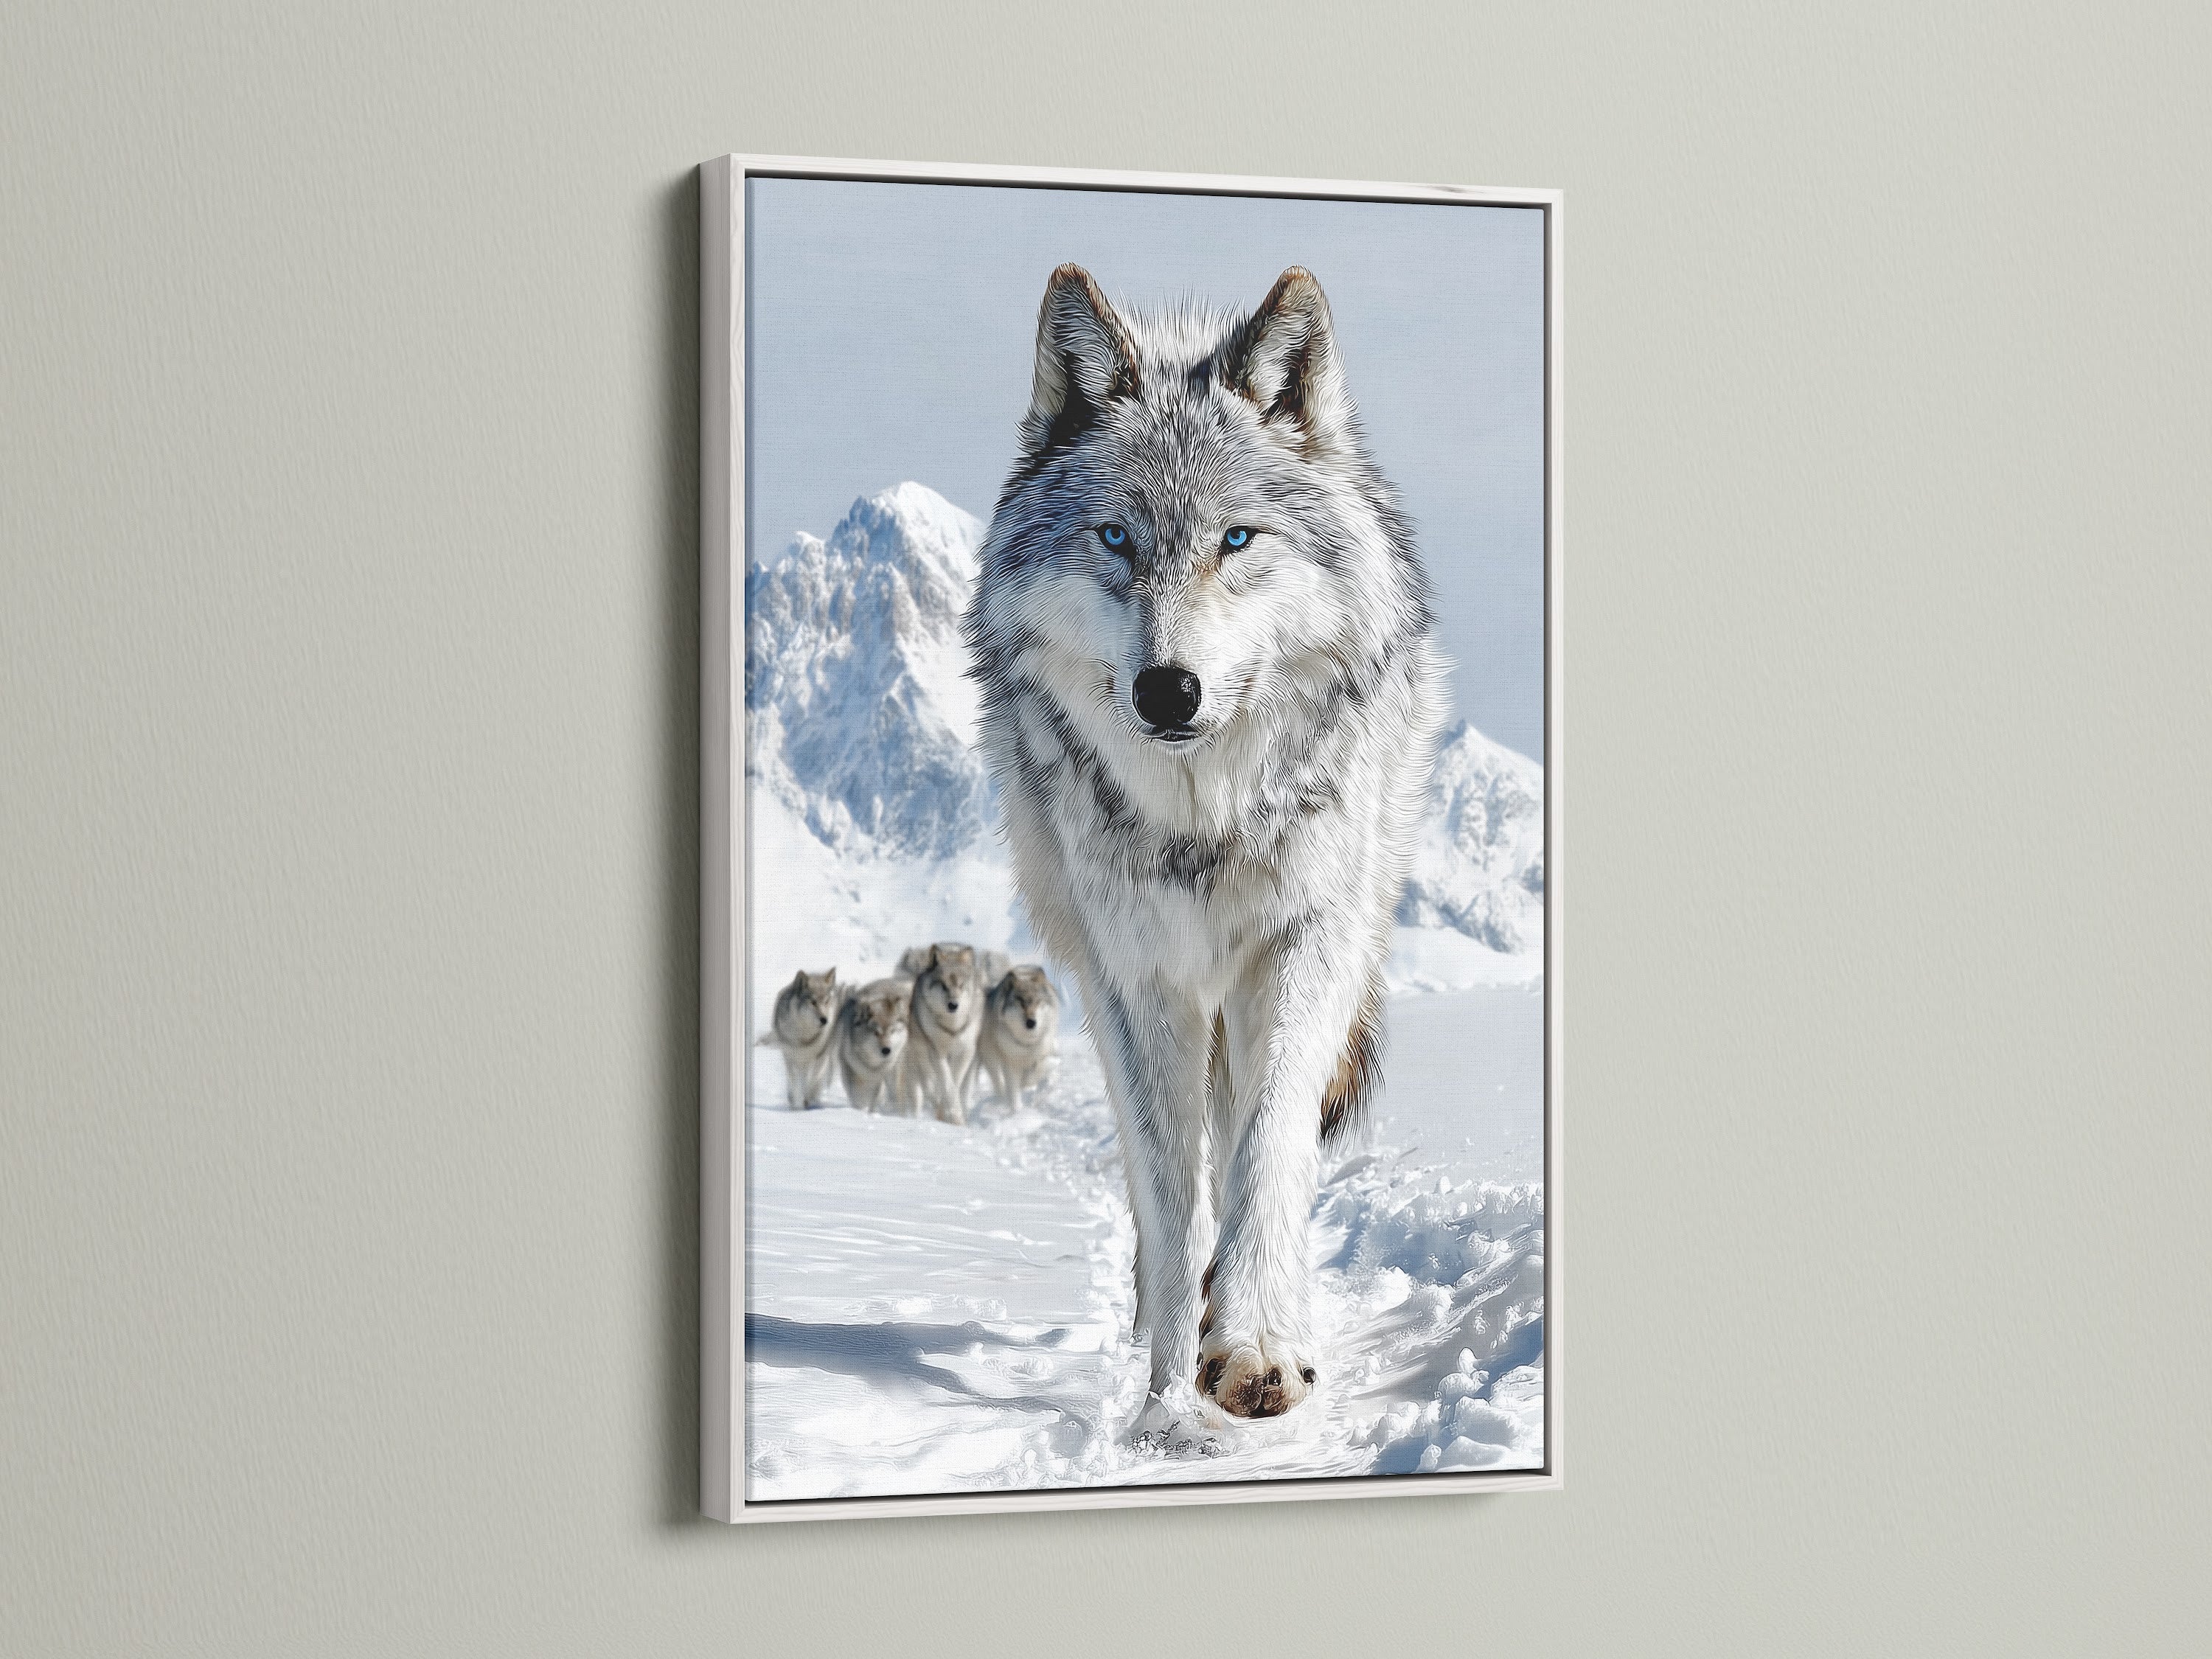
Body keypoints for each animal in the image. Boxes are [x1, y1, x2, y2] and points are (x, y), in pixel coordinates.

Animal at [758, 968, 842, 1110]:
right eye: (813, 1002)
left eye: (826, 1001)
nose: (825, 1020)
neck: (805, 1037)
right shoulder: (790, 1057)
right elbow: (795, 1084)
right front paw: (797, 1106)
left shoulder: (820, 1057)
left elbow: (812, 1081)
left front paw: (808, 1100)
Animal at [835, 976, 915, 1114]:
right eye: (876, 1032)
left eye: (892, 1031)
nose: (887, 1050)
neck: (873, 1065)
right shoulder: (850, 1069)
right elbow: (856, 1096)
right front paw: (860, 1110)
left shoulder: (887, 1073)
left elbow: (878, 1097)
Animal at [903, 943, 985, 1125]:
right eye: (943, 985)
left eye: (961, 985)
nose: (953, 1005)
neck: (951, 1027)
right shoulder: (937, 1052)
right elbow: (947, 1084)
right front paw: (952, 1114)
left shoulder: (965, 1052)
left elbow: (954, 1082)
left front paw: (953, 1116)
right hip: (920, 1059)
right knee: (929, 1087)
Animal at [977, 964, 1060, 1112]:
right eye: (1021, 1002)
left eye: (1037, 1002)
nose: (1031, 1022)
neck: (1026, 1042)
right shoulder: (1010, 1065)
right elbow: (1014, 1091)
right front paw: (1017, 1111)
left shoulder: (1040, 1055)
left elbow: (1037, 1071)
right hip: (991, 1059)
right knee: (998, 1082)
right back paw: (1002, 1099)